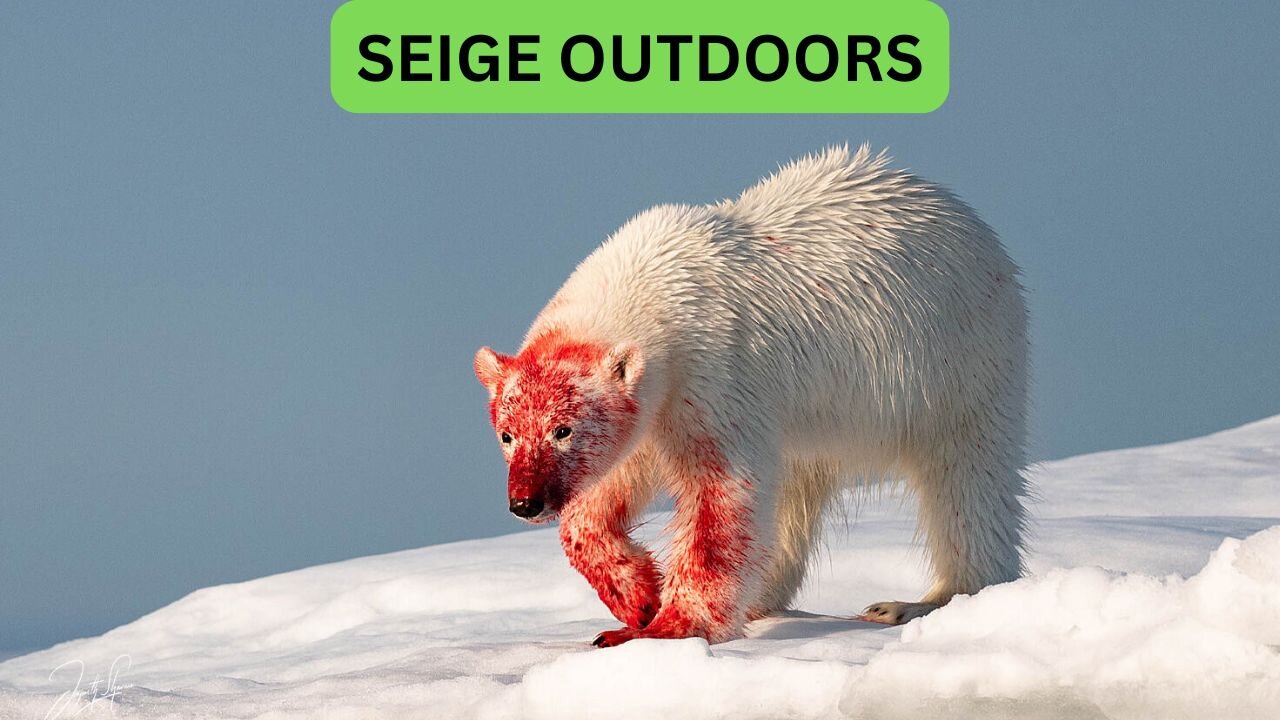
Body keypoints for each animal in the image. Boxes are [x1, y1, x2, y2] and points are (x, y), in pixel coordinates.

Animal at [474, 145, 1029, 647]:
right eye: (507, 434)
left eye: (562, 429)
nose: (525, 502)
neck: (656, 285)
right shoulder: (656, 410)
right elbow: (610, 486)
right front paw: (639, 596)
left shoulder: (715, 374)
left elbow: (721, 493)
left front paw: (665, 627)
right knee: (794, 493)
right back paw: (762, 599)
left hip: (956, 363)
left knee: (965, 480)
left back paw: (918, 602)